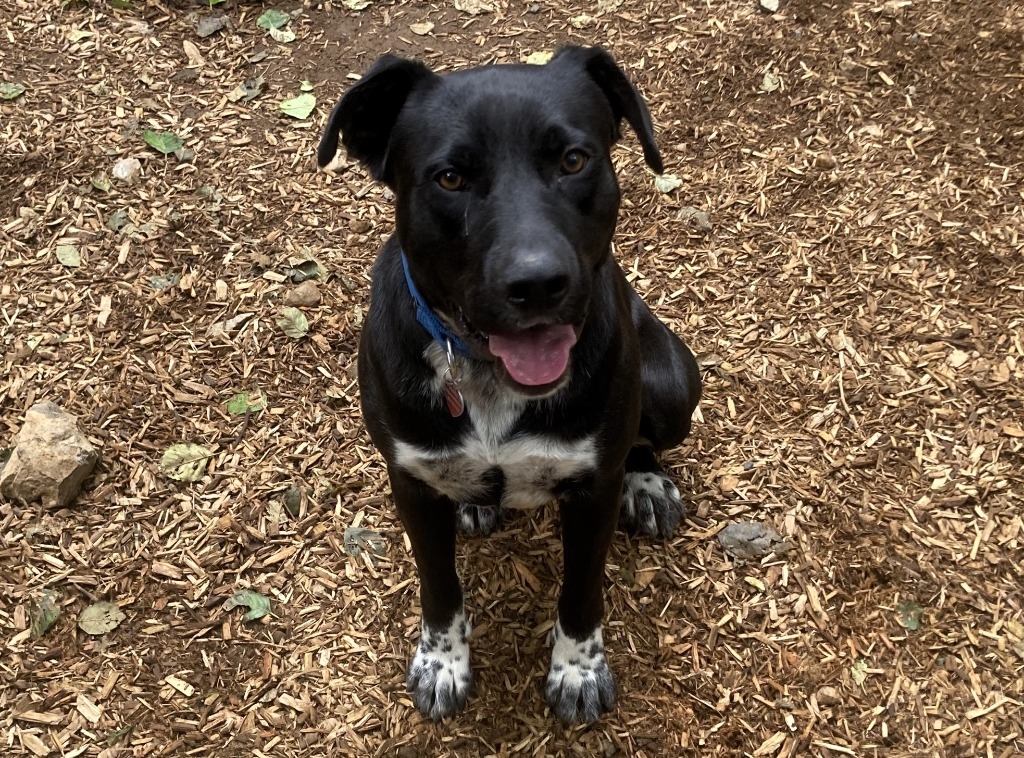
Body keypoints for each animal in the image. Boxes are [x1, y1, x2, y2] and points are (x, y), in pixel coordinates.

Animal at [317, 47, 704, 721]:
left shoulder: (592, 494)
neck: (486, 373)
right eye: (450, 178)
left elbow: (581, 591)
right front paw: (442, 663)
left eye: (573, 160)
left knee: (641, 438)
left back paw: (648, 482)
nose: (538, 283)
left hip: (674, 383)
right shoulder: (410, 483)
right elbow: (439, 589)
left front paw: (578, 670)